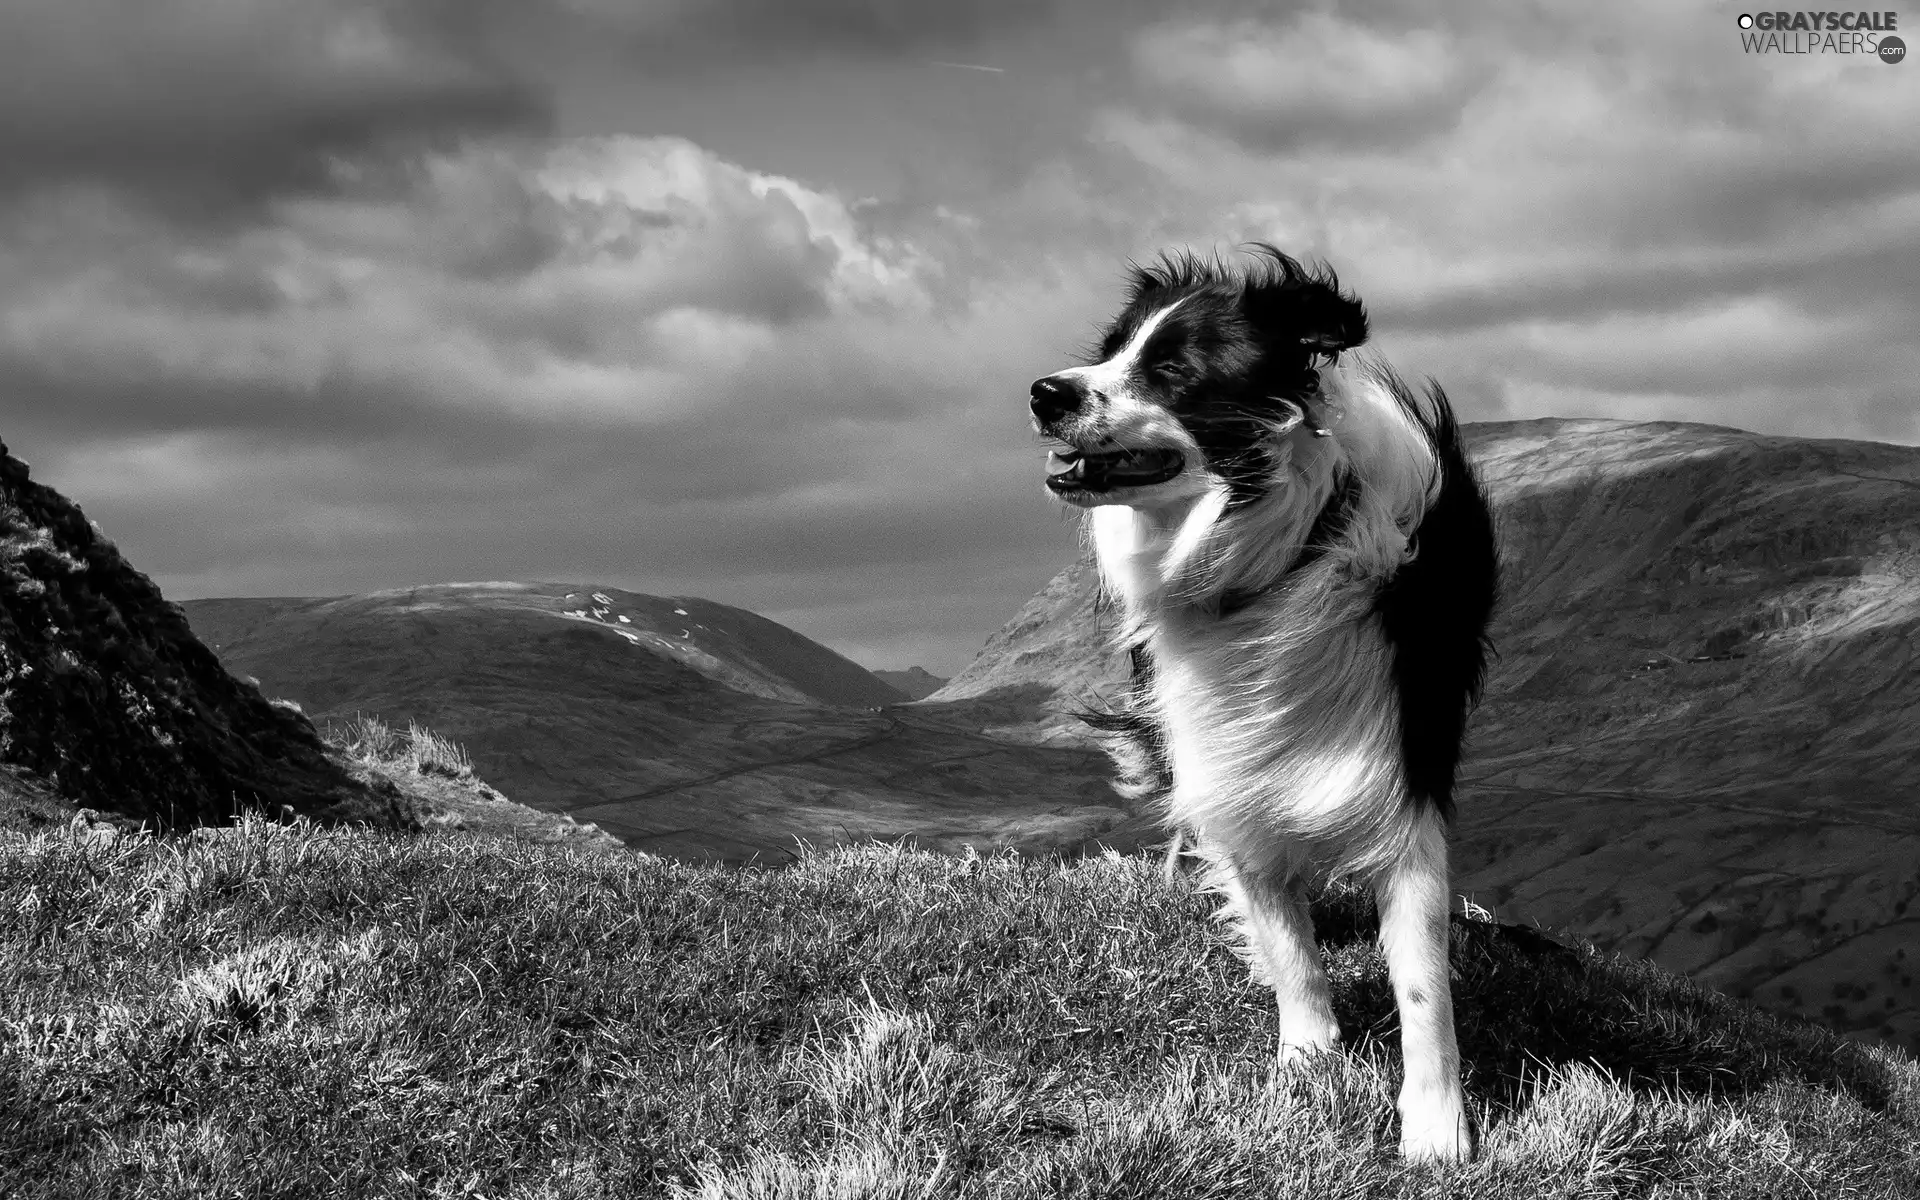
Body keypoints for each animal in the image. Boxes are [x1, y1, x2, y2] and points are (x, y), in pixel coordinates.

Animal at [1036, 245, 1497, 1159]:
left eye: (1174, 370)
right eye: (1110, 351)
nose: (1043, 393)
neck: (1280, 550)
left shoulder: (1402, 767)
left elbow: (1422, 978)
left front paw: (1436, 1128)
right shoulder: (1229, 768)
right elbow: (1286, 942)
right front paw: (1309, 1064)